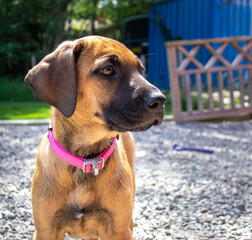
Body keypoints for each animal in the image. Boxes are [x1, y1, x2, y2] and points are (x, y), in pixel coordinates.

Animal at [25, 36, 165, 240]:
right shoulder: (46, 230)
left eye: (141, 70)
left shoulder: (118, 230)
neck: (86, 160)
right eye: (108, 70)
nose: (161, 100)